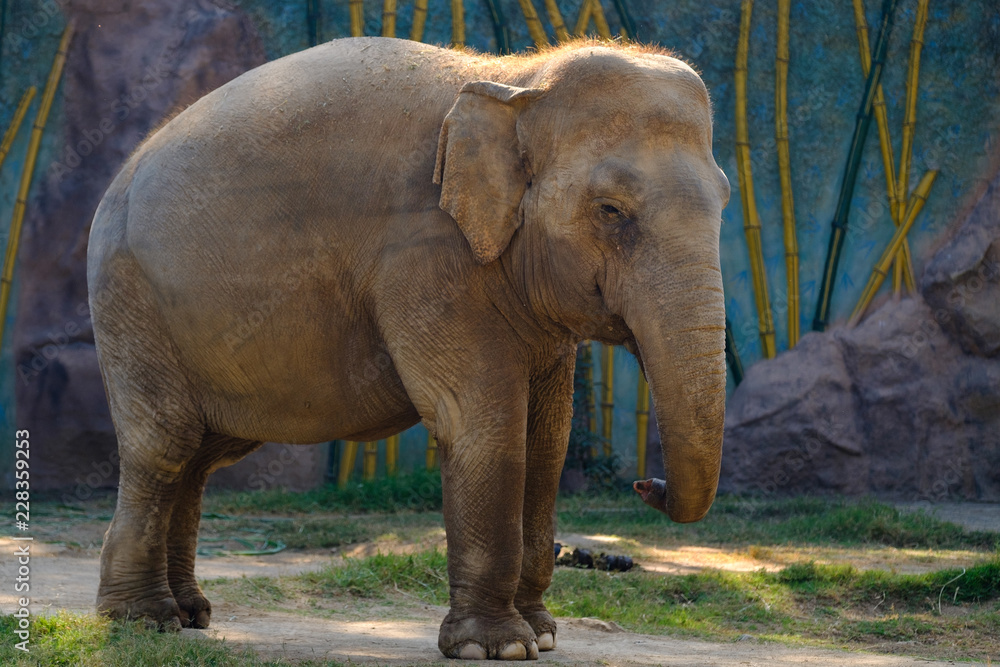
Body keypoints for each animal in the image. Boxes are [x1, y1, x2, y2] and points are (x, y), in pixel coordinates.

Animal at [88, 36, 730, 660]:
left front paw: (542, 636)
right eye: (611, 210)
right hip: (130, 301)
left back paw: (190, 615)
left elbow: (547, 440)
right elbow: (481, 423)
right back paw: (145, 621)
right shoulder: (424, 254)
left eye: (726, 199)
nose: (645, 484)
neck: (515, 79)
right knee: (164, 446)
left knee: (200, 457)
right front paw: (495, 647)